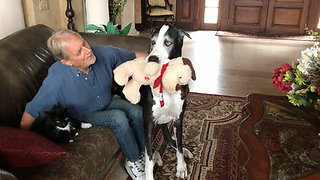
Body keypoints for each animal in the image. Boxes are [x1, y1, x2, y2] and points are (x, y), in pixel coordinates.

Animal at [141, 23, 196, 179]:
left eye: (167, 43)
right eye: (152, 42)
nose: (152, 59)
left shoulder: (178, 119)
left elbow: (179, 145)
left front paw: (181, 167)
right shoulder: (149, 121)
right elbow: (148, 156)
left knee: (170, 139)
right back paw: (157, 156)